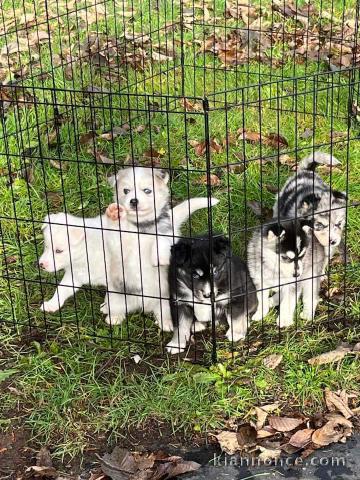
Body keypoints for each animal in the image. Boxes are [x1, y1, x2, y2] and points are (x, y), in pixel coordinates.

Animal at [102, 165, 218, 330]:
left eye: (147, 190)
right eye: (126, 190)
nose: (133, 201)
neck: (142, 226)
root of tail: (142, 305)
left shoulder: (169, 236)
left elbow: (162, 240)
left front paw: (159, 257)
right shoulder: (117, 243)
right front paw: (113, 213)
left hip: (165, 299)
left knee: (163, 311)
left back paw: (167, 323)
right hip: (115, 295)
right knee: (115, 306)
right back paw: (113, 315)